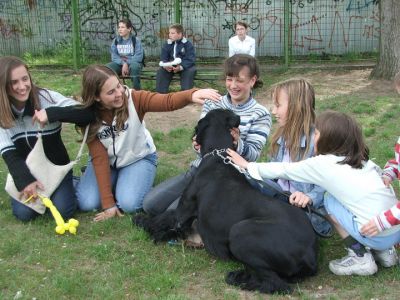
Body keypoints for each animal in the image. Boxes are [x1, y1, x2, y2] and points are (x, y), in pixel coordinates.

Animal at [134, 109, 318, 294]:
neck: (218, 154)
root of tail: (310, 253)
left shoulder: (182, 212)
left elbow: (162, 217)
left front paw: (141, 220)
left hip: (239, 232)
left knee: (276, 283)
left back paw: (238, 278)